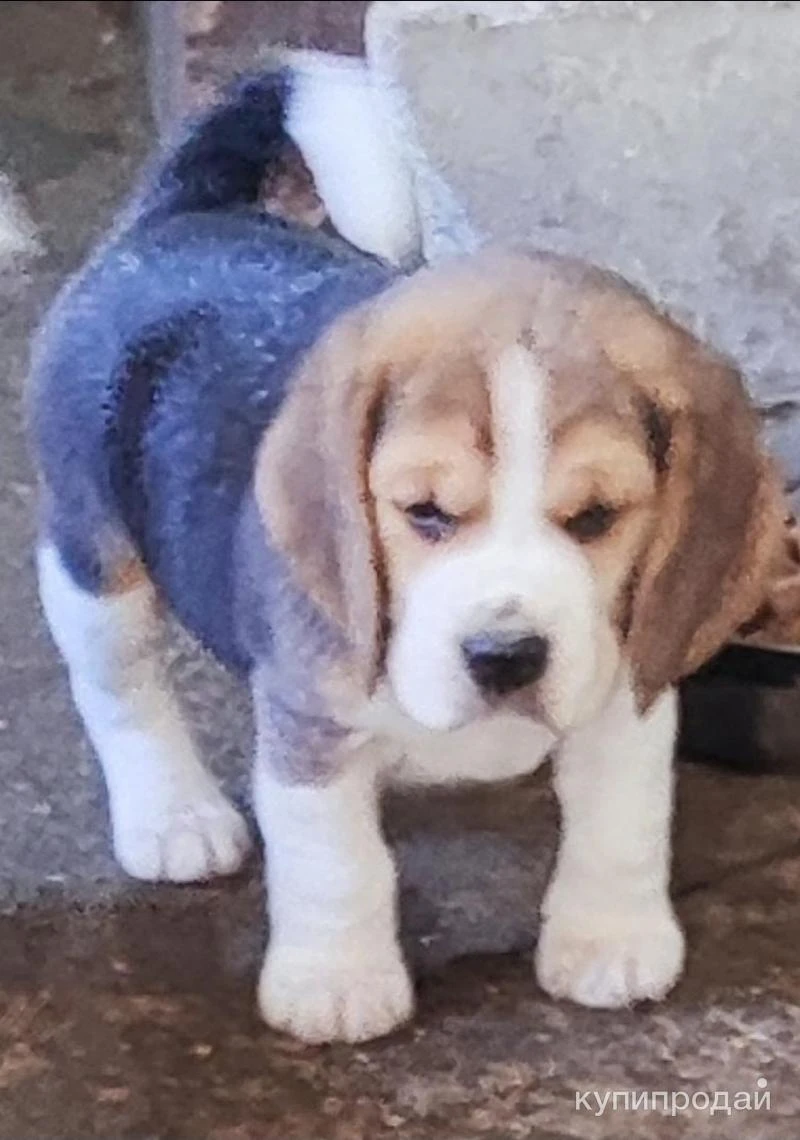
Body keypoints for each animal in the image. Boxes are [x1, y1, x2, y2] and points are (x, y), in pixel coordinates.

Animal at [28, 66, 784, 1045]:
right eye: (424, 512)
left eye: (595, 518)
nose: (505, 657)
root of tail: (183, 214)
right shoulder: (309, 718)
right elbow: (336, 860)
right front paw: (337, 981)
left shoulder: (629, 683)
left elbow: (622, 820)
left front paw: (610, 939)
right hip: (93, 562)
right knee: (120, 690)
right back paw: (174, 815)